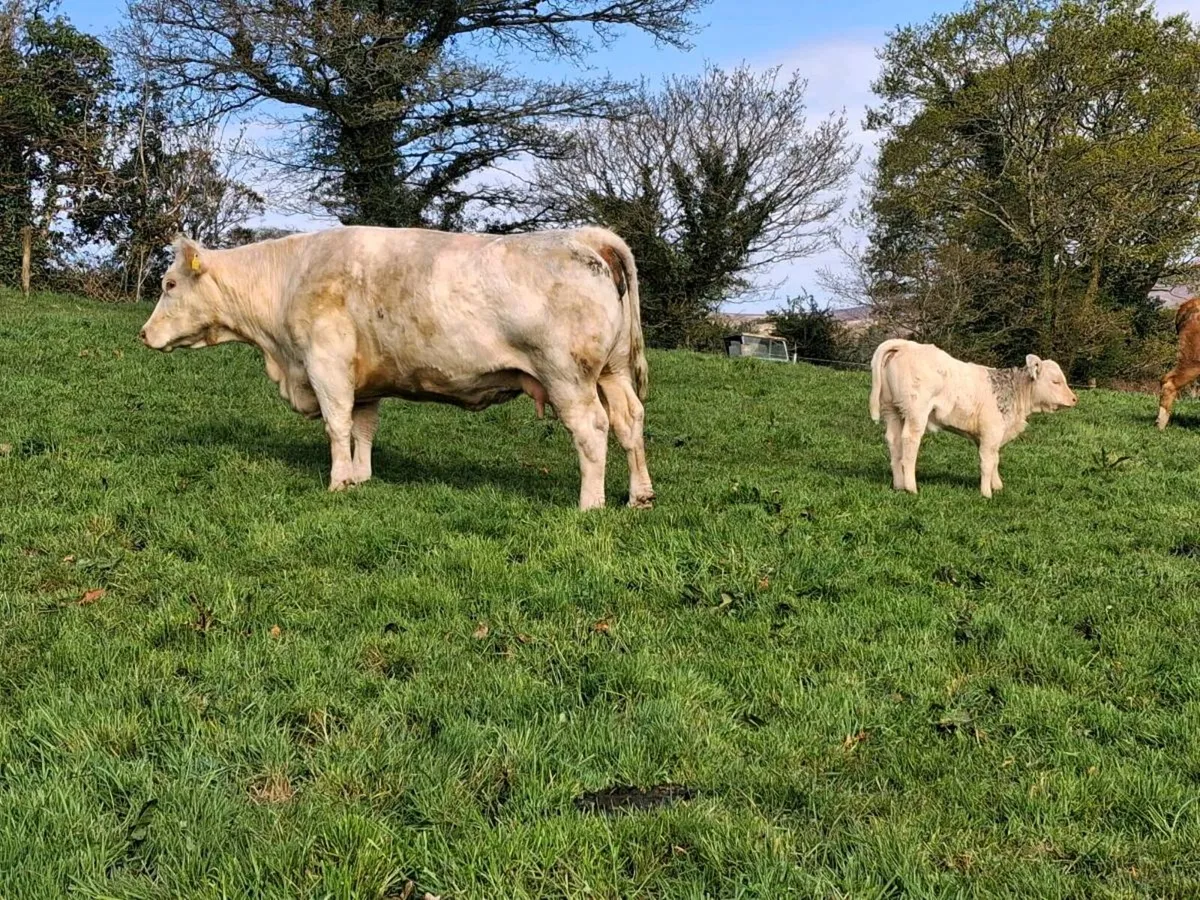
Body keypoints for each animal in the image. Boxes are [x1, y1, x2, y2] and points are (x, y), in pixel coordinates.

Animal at [139, 225, 654, 510]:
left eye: (168, 284)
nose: (143, 334)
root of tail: (588, 235)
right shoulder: (366, 380)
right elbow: (363, 428)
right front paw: (362, 477)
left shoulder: (326, 365)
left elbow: (336, 425)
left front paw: (338, 482)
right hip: (612, 371)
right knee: (630, 421)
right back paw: (640, 497)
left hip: (569, 376)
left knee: (592, 429)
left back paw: (590, 504)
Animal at [868, 339, 1078, 497]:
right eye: (1055, 381)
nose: (1074, 399)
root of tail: (906, 344)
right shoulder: (991, 432)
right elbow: (986, 463)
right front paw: (986, 493)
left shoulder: (990, 436)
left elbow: (994, 459)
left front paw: (997, 486)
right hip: (916, 412)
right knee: (910, 442)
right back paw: (911, 487)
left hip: (892, 410)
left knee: (894, 442)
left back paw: (898, 485)